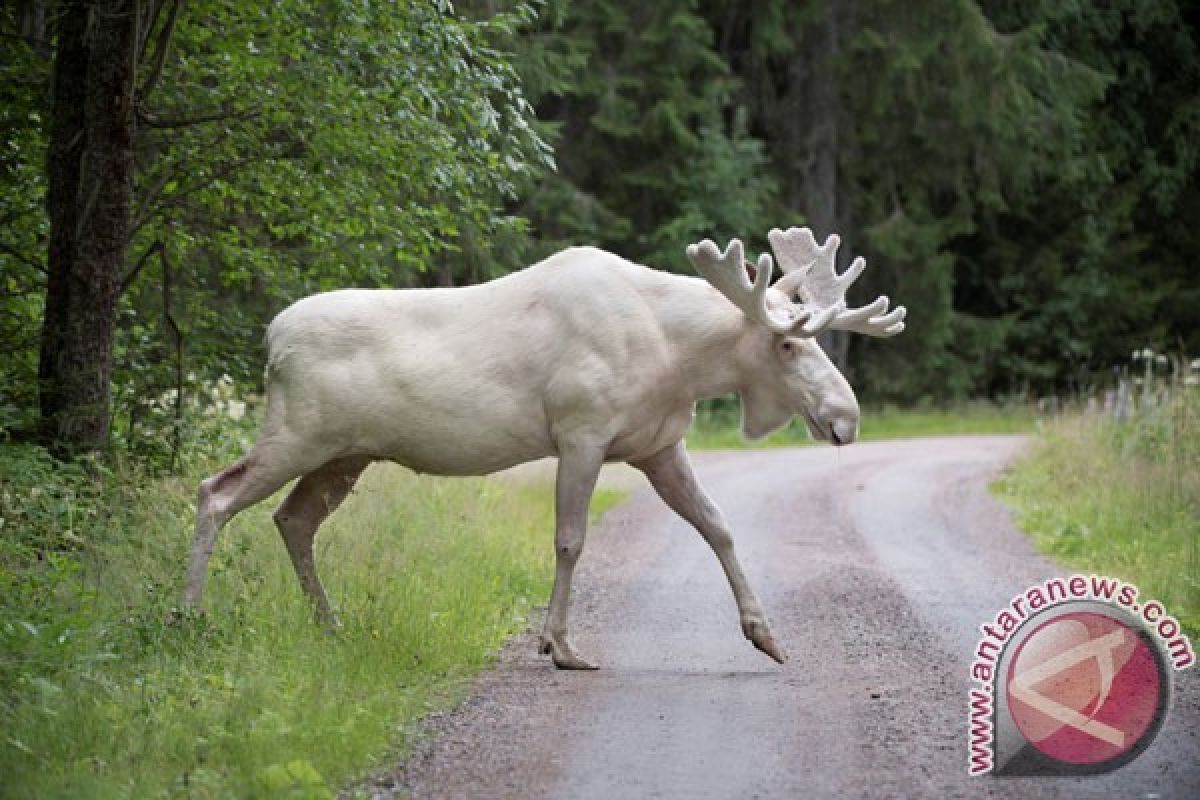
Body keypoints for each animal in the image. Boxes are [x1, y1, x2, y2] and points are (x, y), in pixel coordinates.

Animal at [184, 230, 902, 671]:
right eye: (788, 343)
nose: (846, 418)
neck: (679, 359)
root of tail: (271, 338)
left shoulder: (658, 444)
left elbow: (718, 526)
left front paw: (765, 634)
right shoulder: (581, 432)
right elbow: (569, 540)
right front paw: (560, 645)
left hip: (345, 454)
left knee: (293, 519)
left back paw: (329, 625)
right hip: (298, 433)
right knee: (216, 492)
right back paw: (188, 616)